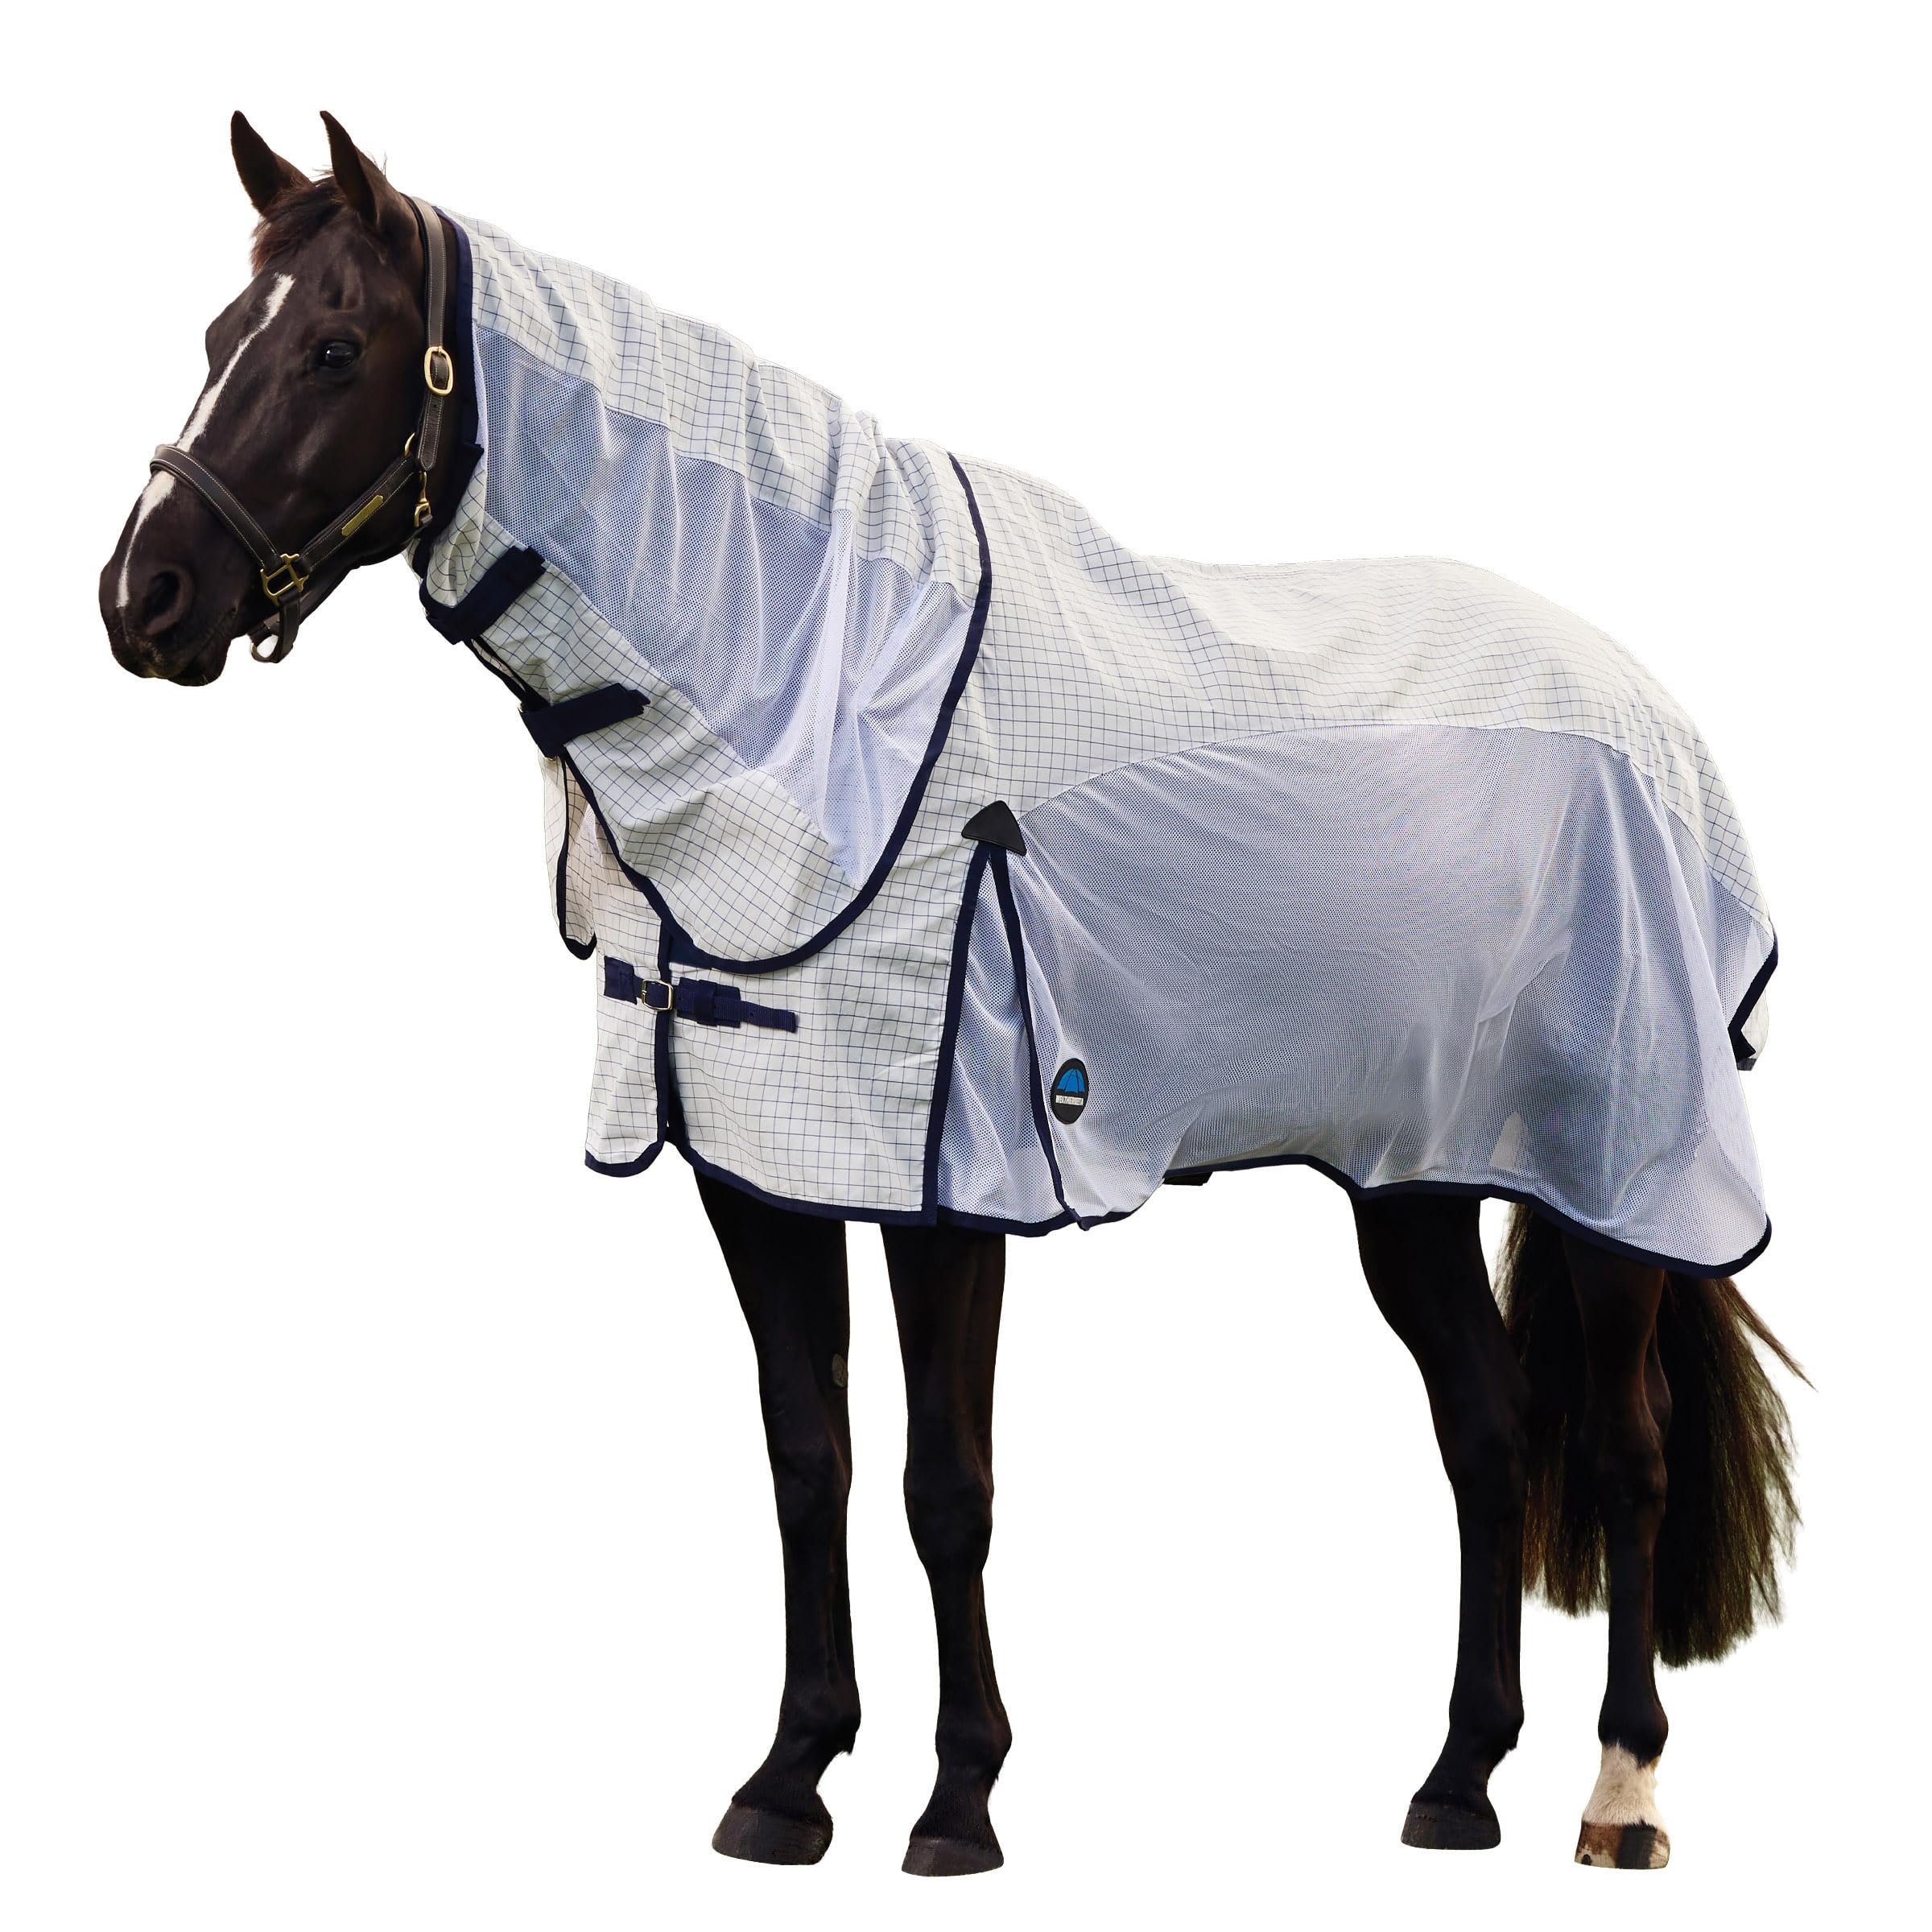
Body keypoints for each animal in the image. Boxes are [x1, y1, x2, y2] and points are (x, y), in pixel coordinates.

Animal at [99, 111, 1801, 1876]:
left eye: (335, 347)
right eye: (219, 341)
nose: (142, 601)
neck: (810, 680)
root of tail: (1643, 703)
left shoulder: (946, 1178)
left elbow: (945, 1487)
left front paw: (959, 1800)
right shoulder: (762, 1159)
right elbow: (809, 1459)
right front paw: (788, 1780)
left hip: (1615, 1169)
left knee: (1624, 1453)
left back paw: (1620, 1794)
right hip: (1414, 1175)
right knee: (1486, 1433)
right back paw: (1456, 1783)